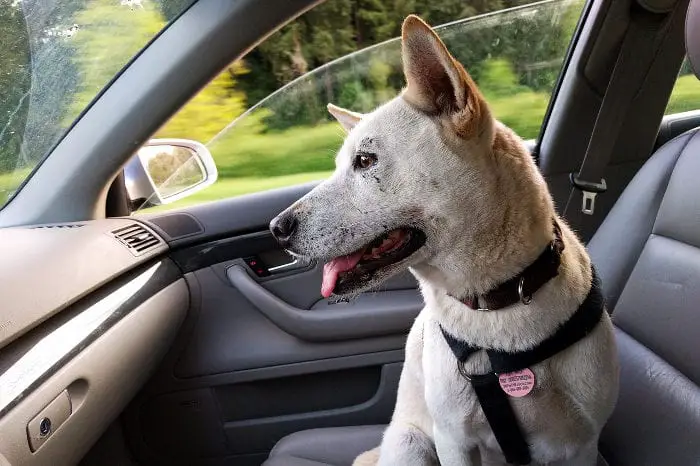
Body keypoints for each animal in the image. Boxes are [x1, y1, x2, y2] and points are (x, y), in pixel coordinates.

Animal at [270, 14, 620, 466]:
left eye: (364, 160)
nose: (276, 228)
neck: (495, 306)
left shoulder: (581, 446)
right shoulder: (454, 438)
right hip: (411, 444)